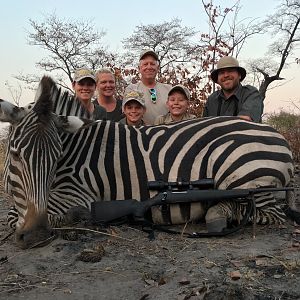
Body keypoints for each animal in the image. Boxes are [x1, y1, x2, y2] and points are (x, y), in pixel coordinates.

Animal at [0, 77, 296, 248]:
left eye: (56, 156)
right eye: (15, 154)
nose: (36, 236)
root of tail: (278, 136)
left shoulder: (77, 193)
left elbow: (17, 216)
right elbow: (17, 212)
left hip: (245, 175)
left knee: (267, 213)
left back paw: (217, 213)